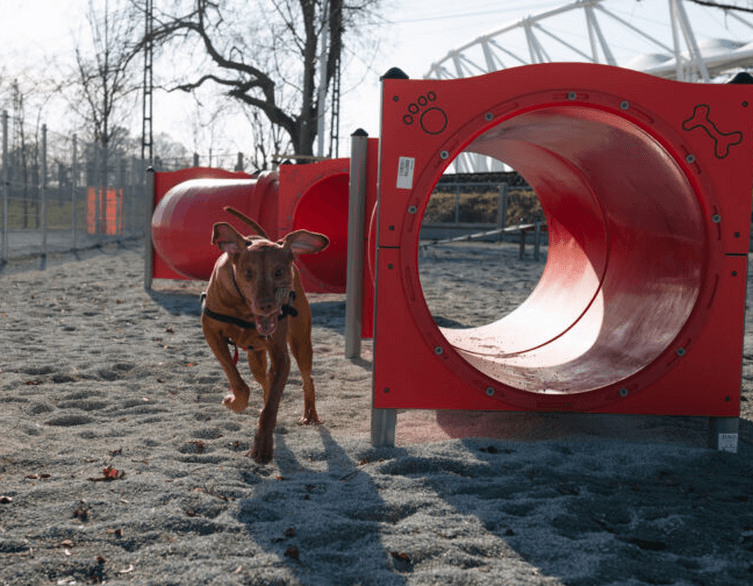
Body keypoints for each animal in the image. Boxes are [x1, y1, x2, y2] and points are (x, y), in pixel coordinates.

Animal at [201, 208, 328, 464]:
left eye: (278, 272)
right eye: (248, 273)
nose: (266, 305)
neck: (243, 310)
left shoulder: (280, 354)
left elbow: (271, 406)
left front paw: (262, 445)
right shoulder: (211, 332)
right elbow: (238, 382)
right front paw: (234, 402)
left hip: (300, 341)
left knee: (306, 378)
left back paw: (310, 414)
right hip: (256, 358)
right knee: (265, 380)